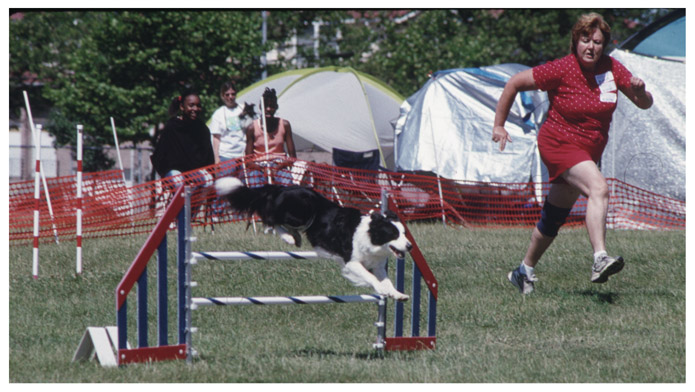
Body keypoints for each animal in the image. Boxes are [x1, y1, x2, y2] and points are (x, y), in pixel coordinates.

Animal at [216, 176, 414, 302]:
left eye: (404, 233)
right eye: (393, 234)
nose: (410, 246)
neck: (371, 237)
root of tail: (281, 188)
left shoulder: (378, 265)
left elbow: (386, 280)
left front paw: (397, 294)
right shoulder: (351, 262)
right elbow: (370, 277)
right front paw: (381, 290)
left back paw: (294, 237)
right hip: (302, 211)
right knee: (270, 219)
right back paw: (288, 237)